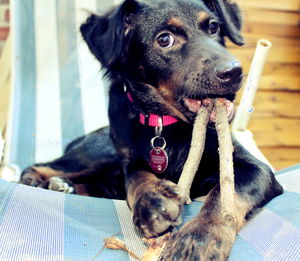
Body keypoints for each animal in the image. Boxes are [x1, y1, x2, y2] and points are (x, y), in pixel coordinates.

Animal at [21, 0, 284, 258]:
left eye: (213, 28)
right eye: (165, 39)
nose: (234, 72)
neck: (164, 124)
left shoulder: (256, 168)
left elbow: (223, 195)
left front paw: (200, 236)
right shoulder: (130, 161)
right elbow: (137, 178)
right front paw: (151, 200)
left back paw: (65, 186)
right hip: (100, 154)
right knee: (44, 165)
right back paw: (37, 179)